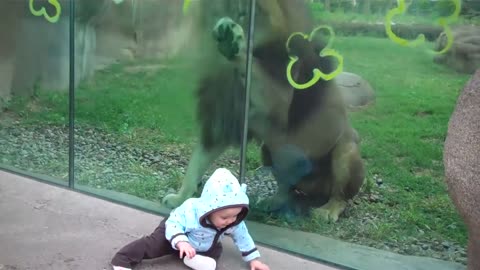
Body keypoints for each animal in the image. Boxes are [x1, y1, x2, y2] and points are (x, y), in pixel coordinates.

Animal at [161, 0, 364, 221]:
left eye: (250, 10)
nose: (233, 20)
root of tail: (314, 191)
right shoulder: (223, 117)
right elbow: (196, 162)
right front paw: (180, 199)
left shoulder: (279, 107)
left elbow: (256, 74)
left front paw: (234, 42)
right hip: (269, 152)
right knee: (286, 187)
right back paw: (273, 202)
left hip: (346, 152)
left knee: (340, 196)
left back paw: (327, 211)